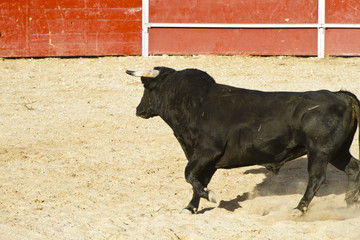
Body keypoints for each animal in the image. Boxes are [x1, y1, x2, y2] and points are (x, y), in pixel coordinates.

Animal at [125, 66, 358, 216]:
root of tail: (341, 96)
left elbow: (189, 174)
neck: (195, 104)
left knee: (316, 178)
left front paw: (212, 198)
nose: (138, 110)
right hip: (337, 152)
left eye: (146, 86)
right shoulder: (207, 160)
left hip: (319, 151)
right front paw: (190, 208)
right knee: (353, 168)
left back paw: (298, 209)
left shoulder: (207, 152)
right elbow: (197, 180)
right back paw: (350, 202)